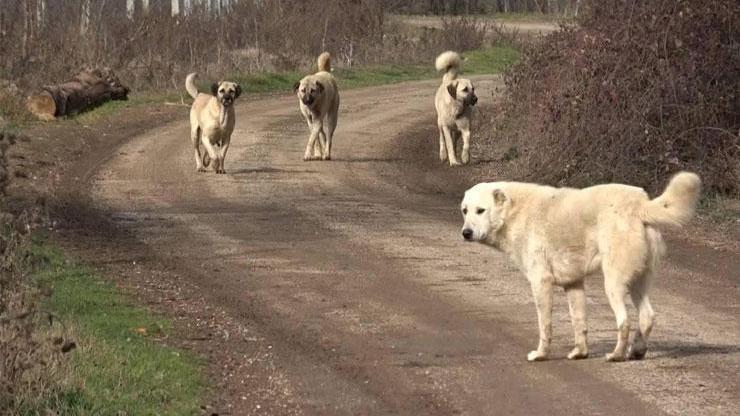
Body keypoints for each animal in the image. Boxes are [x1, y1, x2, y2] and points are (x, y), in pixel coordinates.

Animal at [460, 171, 704, 362]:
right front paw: (580, 353)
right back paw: (636, 351)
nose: (465, 233)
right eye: (465, 211)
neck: (515, 212)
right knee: (647, 317)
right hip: (638, 282)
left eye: (480, 210)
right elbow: (579, 322)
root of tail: (639, 203)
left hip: (613, 284)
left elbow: (545, 325)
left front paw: (541, 354)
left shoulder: (541, 282)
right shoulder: (574, 284)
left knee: (624, 321)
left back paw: (616, 355)